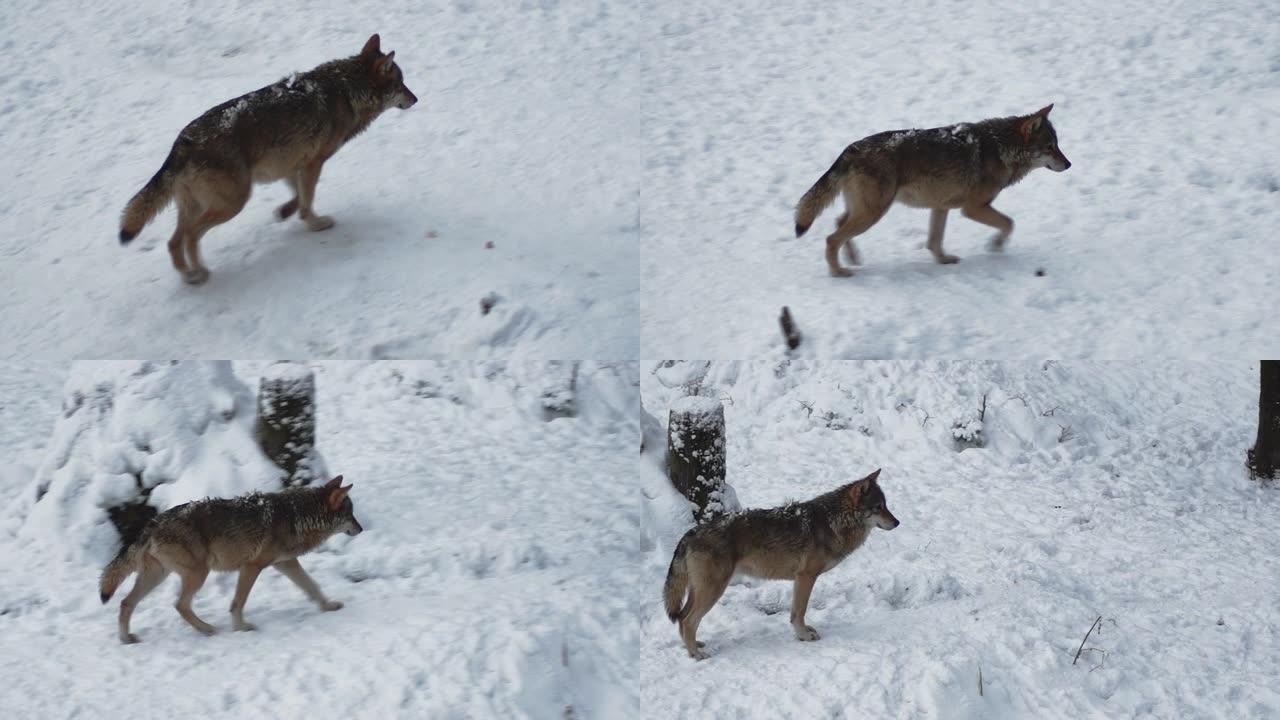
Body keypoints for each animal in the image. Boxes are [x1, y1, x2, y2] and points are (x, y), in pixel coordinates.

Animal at [96, 474, 360, 640]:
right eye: (350, 514)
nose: (361, 528)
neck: (297, 515)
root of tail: (152, 523)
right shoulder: (252, 566)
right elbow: (237, 603)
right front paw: (241, 627)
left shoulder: (286, 563)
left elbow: (313, 587)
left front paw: (328, 606)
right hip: (198, 574)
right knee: (179, 605)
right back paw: (208, 630)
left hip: (158, 576)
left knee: (126, 603)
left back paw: (126, 639)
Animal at [118, 35, 417, 283]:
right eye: (401, 84)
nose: (416, 98)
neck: (347, 89)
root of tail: (183, 142)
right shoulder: (313, 163)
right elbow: (307, 201)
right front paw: (316, 224)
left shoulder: (291, 164)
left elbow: (297, 198)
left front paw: (285, 212)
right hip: (234, 202)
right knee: (191, 236)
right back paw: (200, 272)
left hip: (198, 205)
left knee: (173, 242)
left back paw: (190, 276)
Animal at [665, 468, 896, 661]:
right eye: (878, 507)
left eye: (886, 506)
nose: (897, 522)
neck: (834, 521)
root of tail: (690, 533)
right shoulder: (806, 577)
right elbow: (799, 612)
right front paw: (803, 635)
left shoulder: (802, 579)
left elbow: (797, 612)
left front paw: (804, 632)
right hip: (713, 589)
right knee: (687, 620)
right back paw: (696, 654)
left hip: (701, 590)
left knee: (683, 619)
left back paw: (694, 646)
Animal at [793, 103, 1064, 274]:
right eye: (1050, 147)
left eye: (1057, 145)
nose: (1069, 163)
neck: (1000, 148)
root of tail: (852, 148)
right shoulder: (973, 208)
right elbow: (1009, 223)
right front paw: (995, 246)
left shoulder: (941, 207)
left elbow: (934, 241)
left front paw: (943, 260)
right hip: (873, 213)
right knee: (831, 238)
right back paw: (839, 272)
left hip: (866, 210)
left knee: (838, 224)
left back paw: (853, 259)